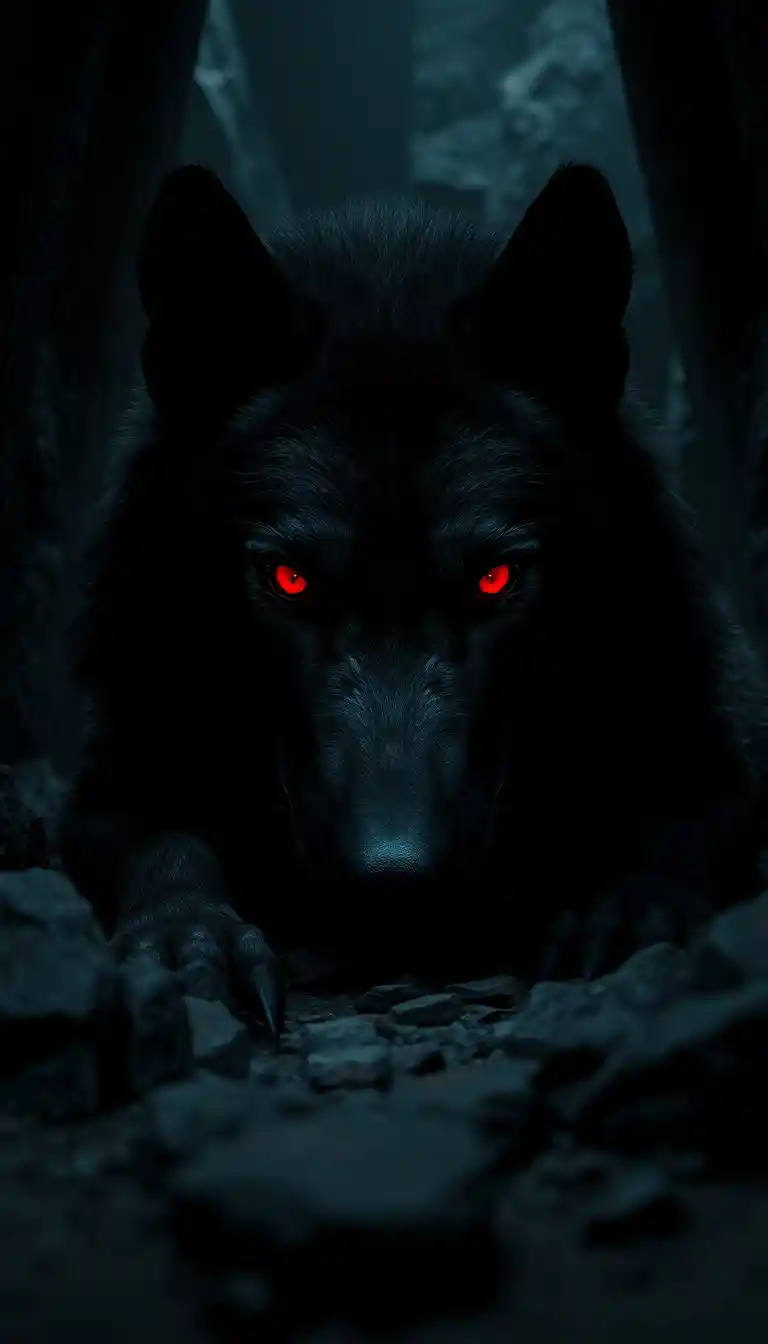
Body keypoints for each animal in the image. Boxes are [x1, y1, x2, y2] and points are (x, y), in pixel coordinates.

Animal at [61, 163, 767, 1036]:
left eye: (493, 579)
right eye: (289, 579)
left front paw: (635, 918)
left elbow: (678, 828)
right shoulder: (112, 778)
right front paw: (187, 935)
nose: (392, 875)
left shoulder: (720, 738)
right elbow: (164, 847)